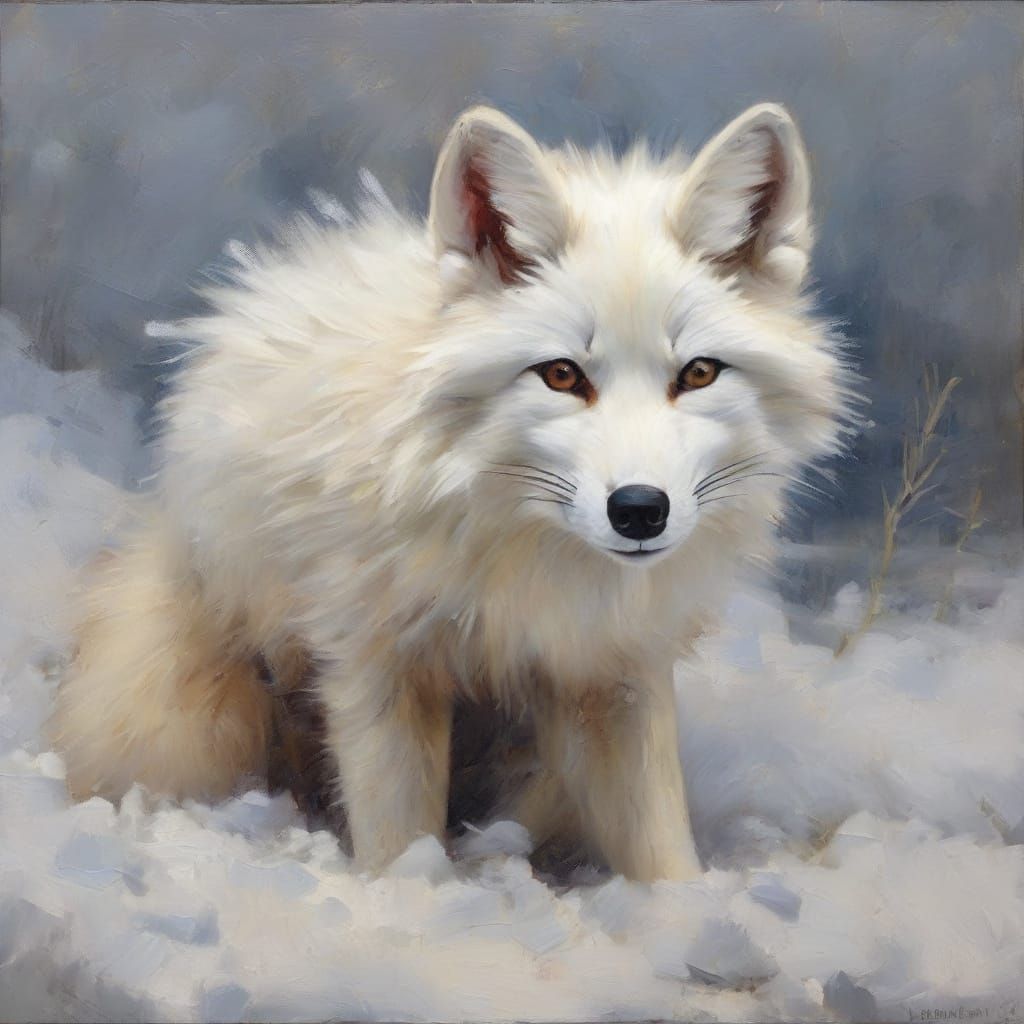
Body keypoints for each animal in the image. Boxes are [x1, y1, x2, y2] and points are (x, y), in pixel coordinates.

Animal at [49, 103, 848, 882]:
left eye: (698, 374)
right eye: (562, 375)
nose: (639, 510)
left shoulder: (616, 671)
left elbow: (660, 845)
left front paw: (681, 917)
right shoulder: (376, 666)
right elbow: (401, 845)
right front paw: (418, 915)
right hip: (195, 725)